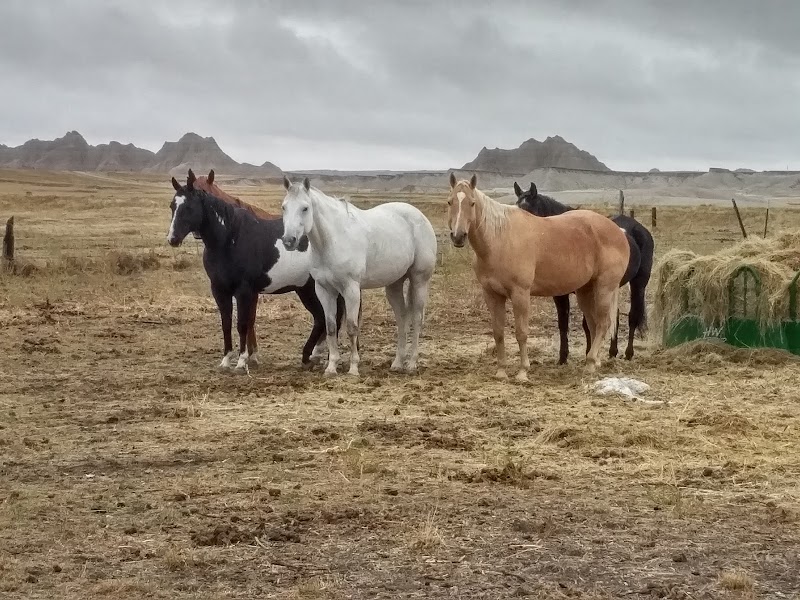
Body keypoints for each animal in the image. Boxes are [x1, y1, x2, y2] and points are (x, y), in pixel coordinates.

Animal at [166, 170, 345, 371]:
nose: (172, 239)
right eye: (172, 206)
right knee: (323, 319)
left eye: (188, 207)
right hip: (306, 289)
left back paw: (319, 357)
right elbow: (226, 324)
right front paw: (226, 361)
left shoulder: (244, 291)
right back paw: (312, 357)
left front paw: (242, 361)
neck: (231, 238)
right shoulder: (220, 290)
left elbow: (243, 324)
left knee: (327, 319)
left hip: (315, 289)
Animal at [280, 176, 437, 377]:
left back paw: (411, 364)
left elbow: (352, 327)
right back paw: (397, 363)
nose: (288, 241)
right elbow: (331, 326)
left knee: (416, 319)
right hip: (394, 284)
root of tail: (420, 216)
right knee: (402, 318)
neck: (333, 240)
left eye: (305, 208)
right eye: (284, 207)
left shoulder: (351, 289)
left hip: (419, 280)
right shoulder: (324, 290)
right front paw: (331, 367)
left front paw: (353, 368)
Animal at [447, 173, 630, 380]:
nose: (458, 236)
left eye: (471, 203)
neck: (500, 240)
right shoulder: (492, 295)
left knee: (603, 323)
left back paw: (590, 364)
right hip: (586, 291)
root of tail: (618, 230)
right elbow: (498, 332)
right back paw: (594, 361)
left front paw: (522, 372)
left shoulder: (520, 294)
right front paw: (501, 371)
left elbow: (521, 333)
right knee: (593, 324)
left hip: (604, 288)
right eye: (450, 202)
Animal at [513, 181, 654, 362]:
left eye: (530, 211)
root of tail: (639, 228)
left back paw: (628, 353)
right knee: (614, 315)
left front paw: (589, 353)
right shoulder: (560, 293)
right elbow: (565, 323)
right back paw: (612, 351)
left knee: (633, 316)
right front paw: (564, 357)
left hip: (639, 283)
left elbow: (587, 323)